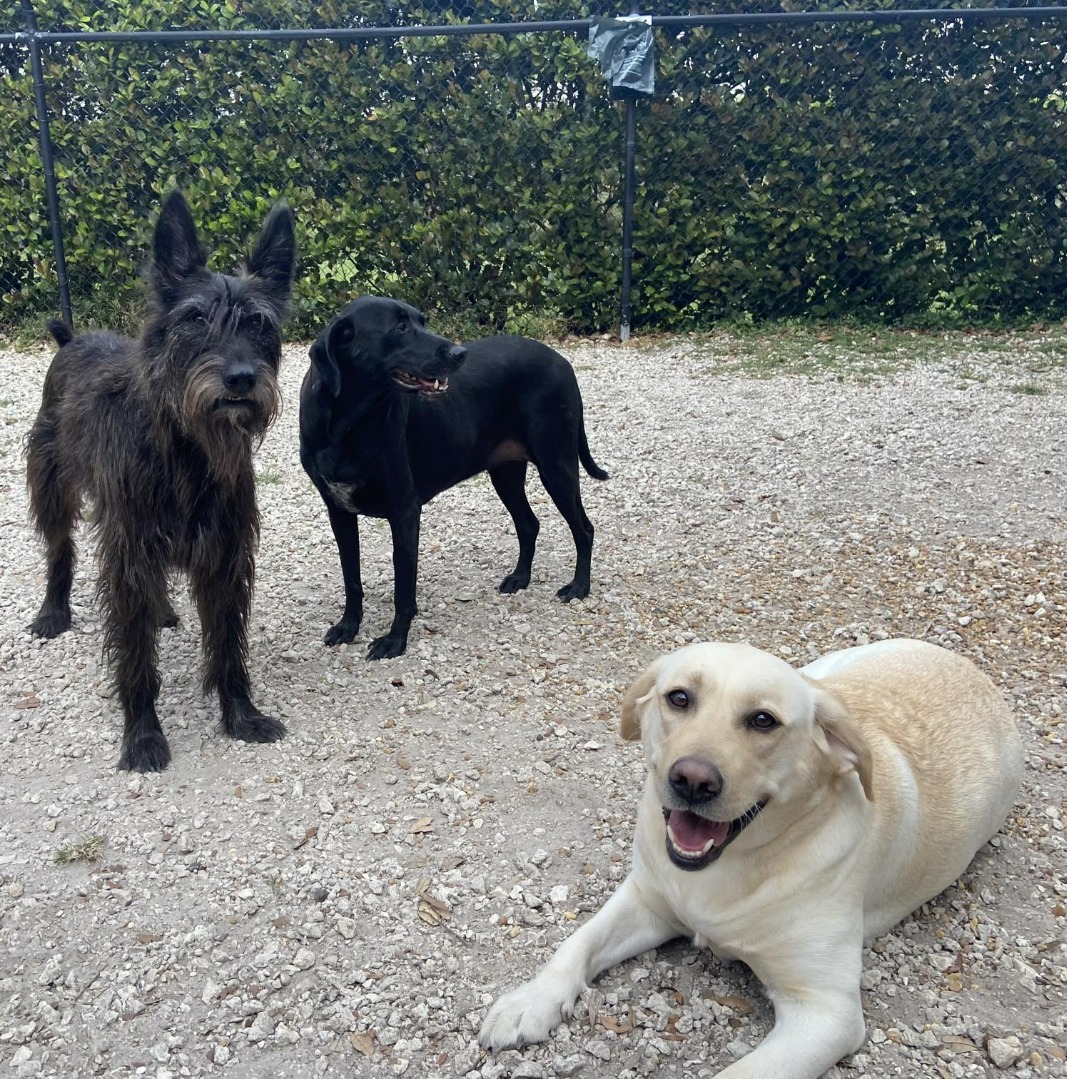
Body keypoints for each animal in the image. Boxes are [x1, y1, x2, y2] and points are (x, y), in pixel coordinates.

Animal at [25, 189, 297, 773]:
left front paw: (241, 716)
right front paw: (143, 735)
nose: (241, 379)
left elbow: (227, 645)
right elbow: (134, 655)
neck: (187, 449)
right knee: (59, 550)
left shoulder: (225, 552)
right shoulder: (129, 554)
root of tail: (72, 339)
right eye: (195, 317)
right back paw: (53, 611)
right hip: (50, 485)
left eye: (259, 324)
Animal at [299, 295, 608, 660]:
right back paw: (520, 578)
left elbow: (403, 587)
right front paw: (348, 627)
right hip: (506, 474)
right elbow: (351, 578)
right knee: (529, 524)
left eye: (421, 321)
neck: (347, 421)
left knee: (584, 529)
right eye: (400, 327)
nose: (460, 353)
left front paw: (395, 641)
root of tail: (561, 360)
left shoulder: (404, 512)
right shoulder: (338, 512)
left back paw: (579, 587)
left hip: (556, 466)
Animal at [480, 638, 1022, 1078]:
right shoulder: (647, 900)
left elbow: (742, 1073)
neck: (720, 875)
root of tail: (966, 666)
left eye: (764, 720)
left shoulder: (826, 1012)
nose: (692, 780)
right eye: (679, 697)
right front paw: (528, 1002)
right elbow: (576, 944)